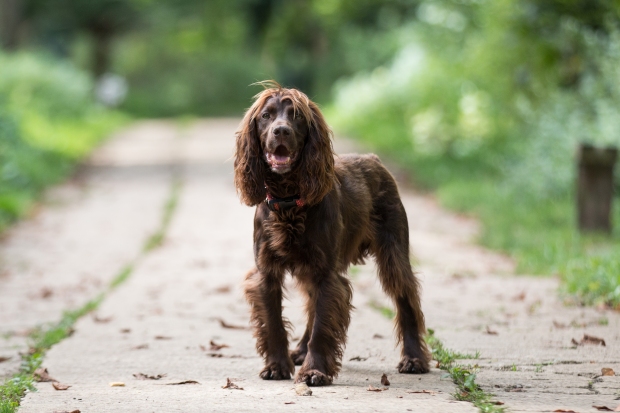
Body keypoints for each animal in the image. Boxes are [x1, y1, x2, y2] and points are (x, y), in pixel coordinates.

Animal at [235, 82, 428, 384]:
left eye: (297, 117)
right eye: (266, 116)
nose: (281, 131)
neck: (289, 200)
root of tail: (373, 159)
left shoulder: (327, 273)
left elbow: (323, 324)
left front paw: (315, 370)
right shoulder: (266, 273)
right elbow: (275, 322)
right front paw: (278, 365)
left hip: (393, 253)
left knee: (406, 298)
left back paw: (414, 358)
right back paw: (299, 350)